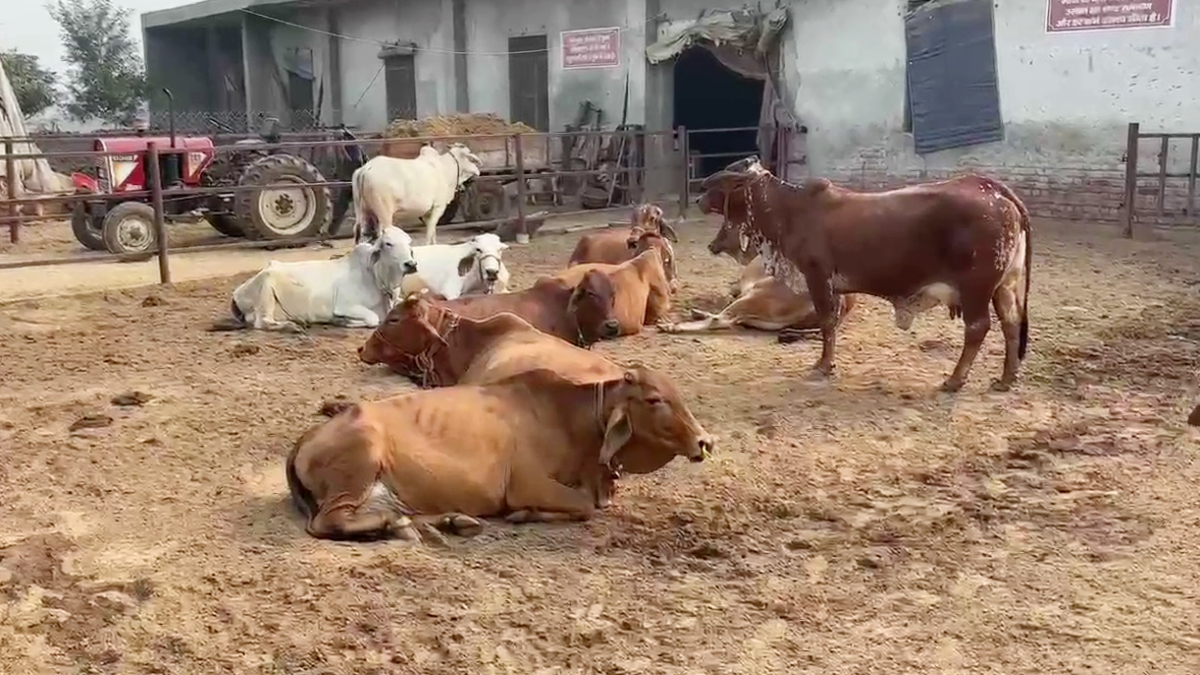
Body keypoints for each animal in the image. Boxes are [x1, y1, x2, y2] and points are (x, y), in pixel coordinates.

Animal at [285, 365, 710, 538]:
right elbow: (584, 506)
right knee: (327, 523)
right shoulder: (528, 484)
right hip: (359, 467)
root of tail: (306, 438)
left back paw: (447, 522)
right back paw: (398, 525)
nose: (705, 441)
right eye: (655, 399)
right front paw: (525, 515)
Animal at [350, 142, 482, 246]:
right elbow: (430, 232)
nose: (478, 170)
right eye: (470, 157)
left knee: (360, 233)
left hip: (364, 211)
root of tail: (366, 168)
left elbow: (432, 232)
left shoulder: (427, 212)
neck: (446, 169)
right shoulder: (438, 207)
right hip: (384, 212)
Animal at [700, 156, 1032, 391]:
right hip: (1005, 285)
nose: (699, 195)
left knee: (977, 328)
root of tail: (992, 189)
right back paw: (1006, 379)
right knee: (1011, 324)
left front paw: (823, 366)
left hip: (976, 287)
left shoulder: (817, 276)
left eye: (726, 177)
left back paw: (954, 380)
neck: (788, 211)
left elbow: (827, 323)